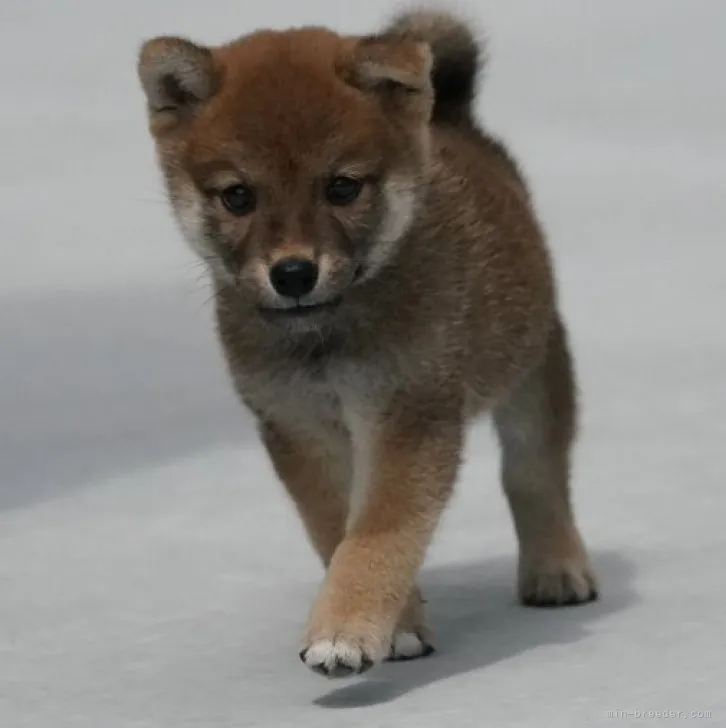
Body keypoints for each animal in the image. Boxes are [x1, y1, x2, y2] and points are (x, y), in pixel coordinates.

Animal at [139, 8, 600, 680]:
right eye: (238, 196)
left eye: (342, 187)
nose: (293, 273)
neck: (326, 339)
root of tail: (456, 121)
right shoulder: (298, 426)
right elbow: (337, 531)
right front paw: (398, 625)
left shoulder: (409, 415)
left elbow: (379, 535)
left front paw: (345, 631)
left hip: (531, 369)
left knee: (535, 475)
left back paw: (556, 567)